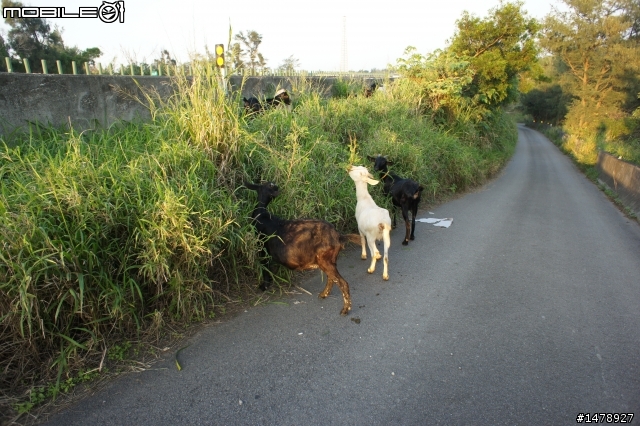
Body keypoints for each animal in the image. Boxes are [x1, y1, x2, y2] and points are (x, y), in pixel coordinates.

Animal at [244, 181, 360, 316]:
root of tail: (338, 236)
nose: (278, 188)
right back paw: (323, 295)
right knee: (331, 279)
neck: (262, 214)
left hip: (324, 259)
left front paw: (264, 287)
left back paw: (345, 309)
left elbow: (265, 269)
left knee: (342, 283)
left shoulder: (262, 249)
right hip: (328, 260)